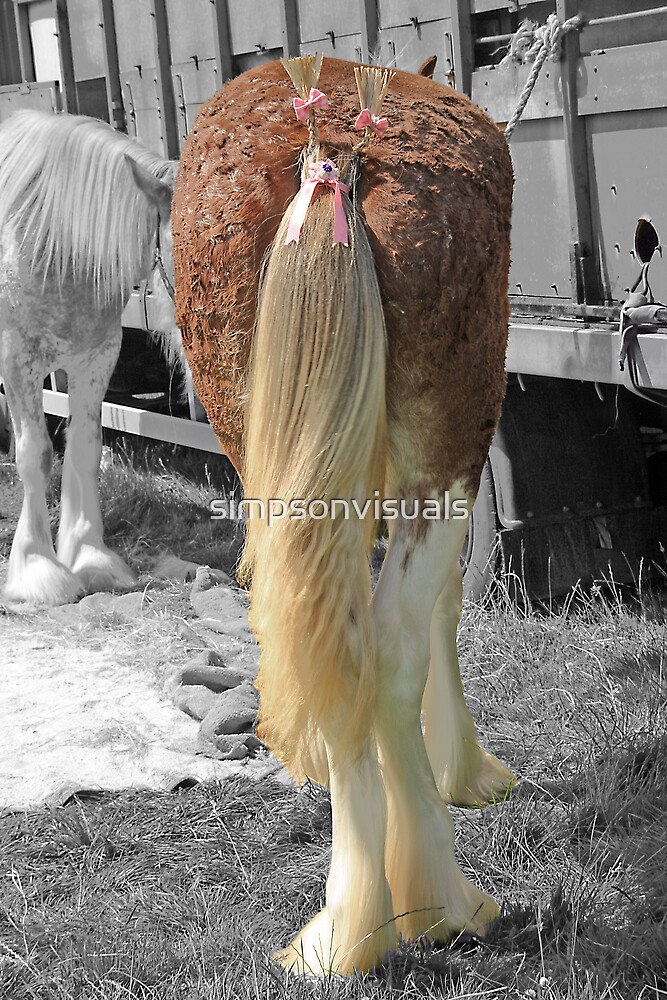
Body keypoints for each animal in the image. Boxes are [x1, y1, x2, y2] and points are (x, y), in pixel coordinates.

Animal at [0, 110, 179, 606]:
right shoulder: (16, 360)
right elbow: (37, 453)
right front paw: (38, 568)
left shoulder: (96, 357)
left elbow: (84, 448)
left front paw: (89, 557)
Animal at [173, 56, 515, 975]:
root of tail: (329, 162)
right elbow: (444, 608)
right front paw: (465, 770)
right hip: (453, 435)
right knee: (391, 641)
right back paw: (435, 901)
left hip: (254, 432)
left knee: (322, 628)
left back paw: (346, 921)